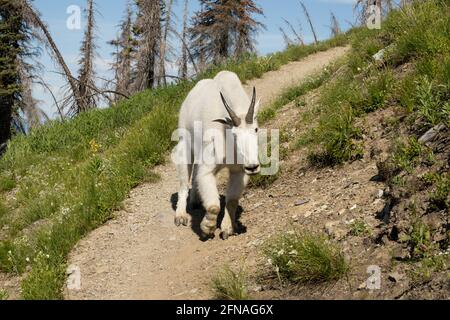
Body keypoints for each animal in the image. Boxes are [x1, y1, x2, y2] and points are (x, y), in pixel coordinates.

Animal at [172, 70, 260, 240]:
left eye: (256, 129)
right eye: (234, 133)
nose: (253, 167)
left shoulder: (239, 171)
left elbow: (231, 201)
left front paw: (227, 229)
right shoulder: (208, 169)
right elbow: (213, 206)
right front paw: (207, 228)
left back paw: (195, 201)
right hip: (185, 144)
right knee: (184, 182)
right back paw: (181, 215)